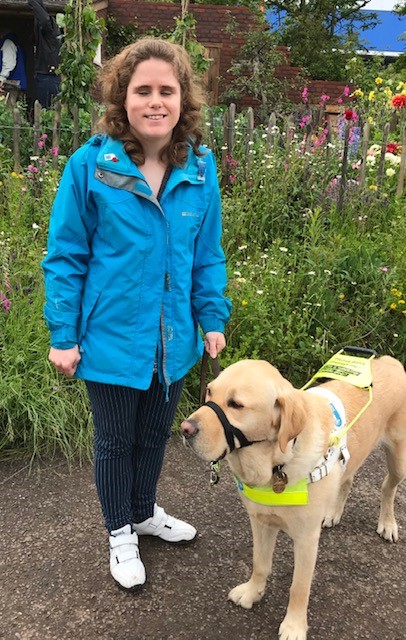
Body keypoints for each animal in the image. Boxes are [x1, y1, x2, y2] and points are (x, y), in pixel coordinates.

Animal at [181, 356, 406, 640]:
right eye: (209, 391)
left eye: (236, 405)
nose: (185, 428)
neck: (276, 461)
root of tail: (389, 360)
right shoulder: (261, 522)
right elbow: (260, 563)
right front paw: (252, 592)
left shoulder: (306, 539)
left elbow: (299, 587)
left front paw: (294, 626)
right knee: (347, 480)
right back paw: (334, 513)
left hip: (399, 461)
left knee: (388, 487)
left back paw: (387, 523)